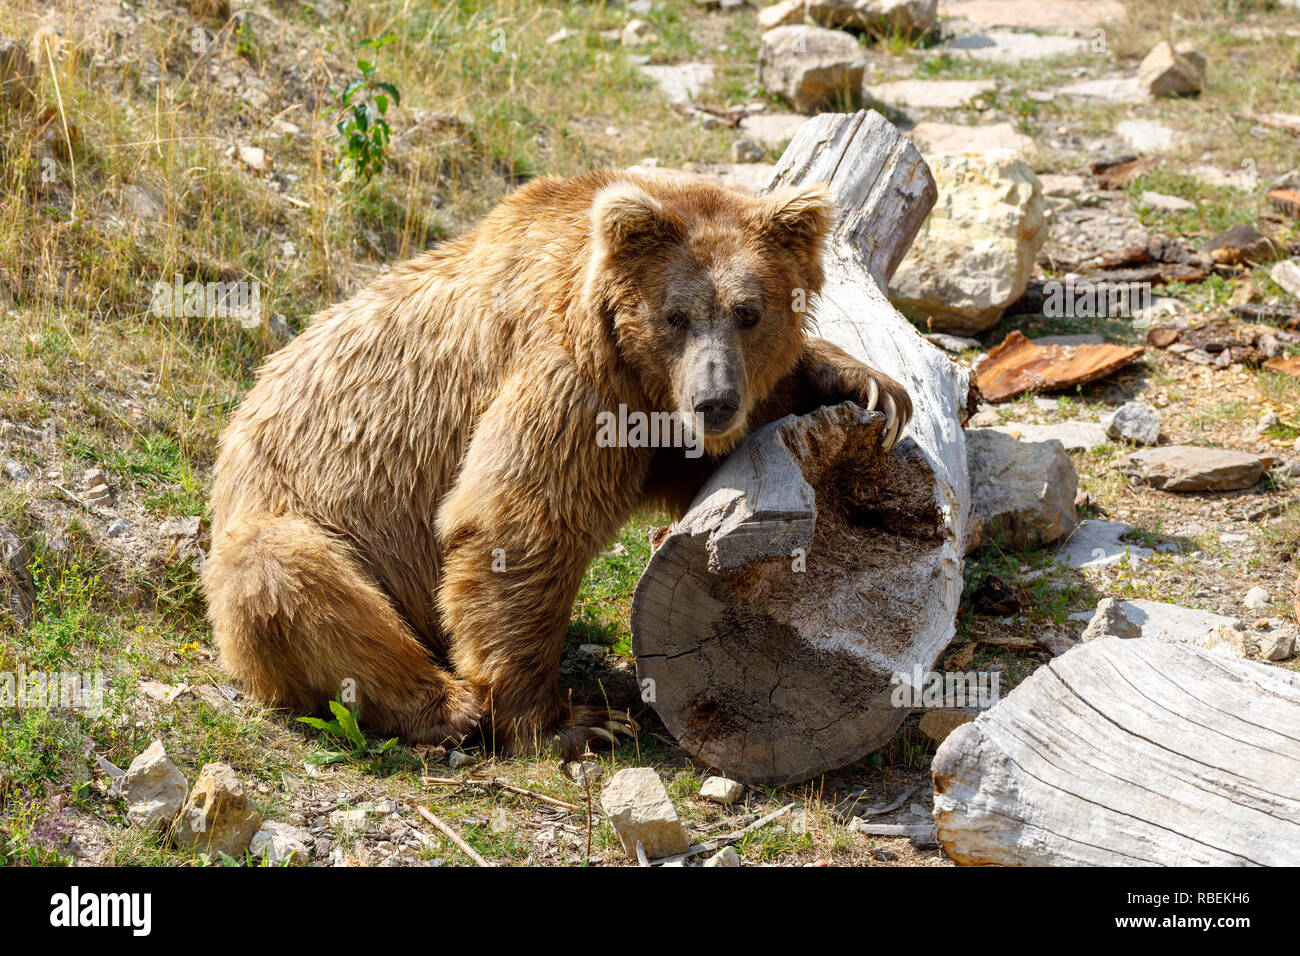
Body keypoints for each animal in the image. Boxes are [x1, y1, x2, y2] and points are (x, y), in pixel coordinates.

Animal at [202, 168, 912, 758]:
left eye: (749, 311)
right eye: (676, 316)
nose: (714, 400)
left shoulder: (649, 418)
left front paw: (865, 383)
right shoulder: (570, 376)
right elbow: (519, 523)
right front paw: (571, 723)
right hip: (302, 521)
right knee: (289, 581)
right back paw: (449, 706)